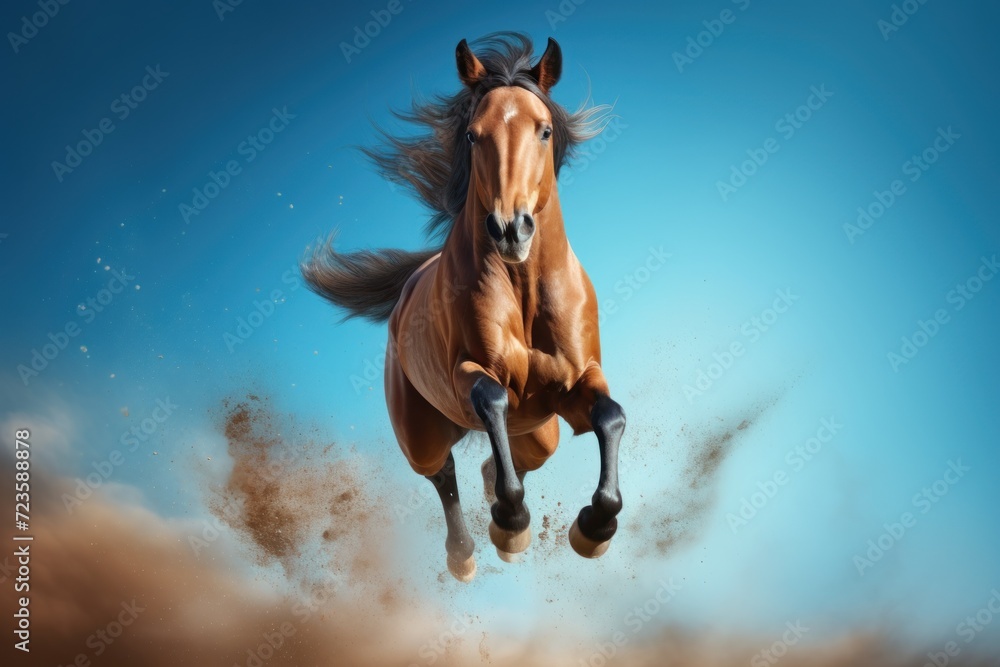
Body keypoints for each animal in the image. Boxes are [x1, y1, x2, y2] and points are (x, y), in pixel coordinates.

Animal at [302, 33, 625, 582]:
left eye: (543, 131)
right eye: (473, 135)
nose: (511, 229)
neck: (524, 292)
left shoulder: (579, 379)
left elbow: (610, 416)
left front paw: (594, 528)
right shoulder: (468, 373)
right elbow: (491, 399)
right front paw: (512, 523)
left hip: (540, 432)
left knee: (500, 461)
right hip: (420, 435)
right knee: (444, 472)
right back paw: (468, 552)